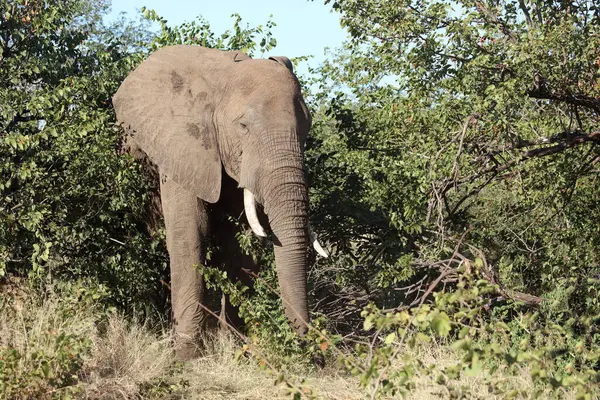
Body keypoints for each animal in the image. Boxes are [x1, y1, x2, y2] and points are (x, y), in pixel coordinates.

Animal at [112, 46, 328, 360]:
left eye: (306, 129)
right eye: (243, 126)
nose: (308, 348)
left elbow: (241, 244)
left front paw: (239, 349)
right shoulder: (182, 147)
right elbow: (191, 234)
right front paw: (186, 356)